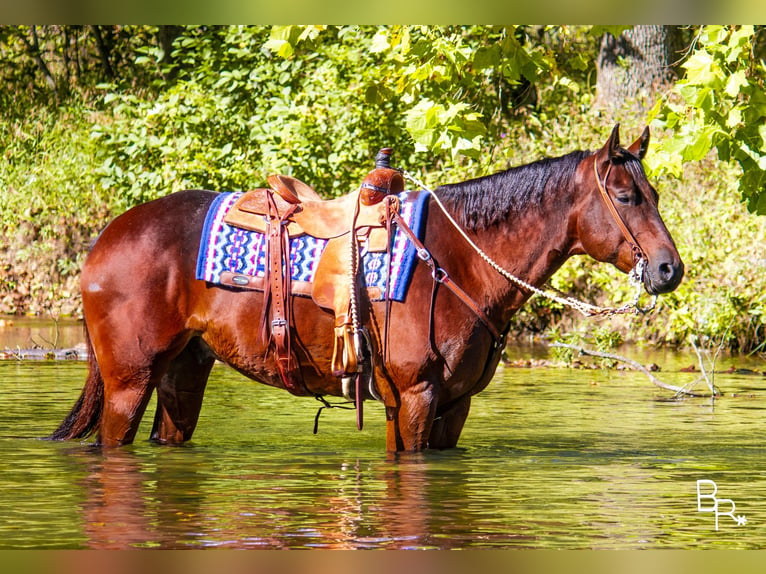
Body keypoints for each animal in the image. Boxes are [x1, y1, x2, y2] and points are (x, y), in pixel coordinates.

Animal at [49, 126, 684, 454]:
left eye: (652, 192)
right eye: (626, 196)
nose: (668, 270)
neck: (456, 264)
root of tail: (106, 240)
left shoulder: (453, 405)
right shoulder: (417, 396)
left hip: (182, 371)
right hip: (128, 381)